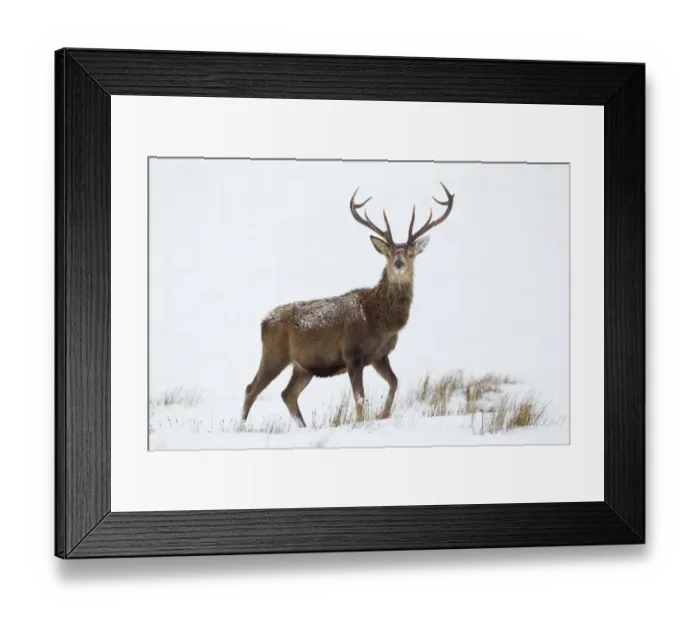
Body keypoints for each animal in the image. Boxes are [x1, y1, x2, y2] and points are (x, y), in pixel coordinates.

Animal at [242, 182, 455, 428]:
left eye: (411, 254)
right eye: (389, 254)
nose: (399, 263)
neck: (380, 322)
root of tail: (263, 322)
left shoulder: (380, 355)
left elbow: (394, 382)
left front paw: (382, 415)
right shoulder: (352, 353)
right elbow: (360, 397)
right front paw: (360, 423)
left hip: (303, 366)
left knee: (288, 394)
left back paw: (303, 427)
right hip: (274, 353)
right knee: (252, 388)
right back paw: (241, 426)